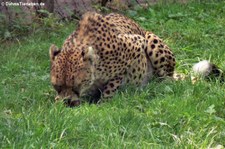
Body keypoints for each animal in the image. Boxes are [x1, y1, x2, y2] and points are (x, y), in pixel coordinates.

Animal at [49, 12, 223, 106]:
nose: (66, 102)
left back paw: (156, 86)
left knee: (166, 80)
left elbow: (113, 83)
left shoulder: (136, 43)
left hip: (150, 40)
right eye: (56, 86)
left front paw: (103, 103)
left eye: (75, 85)